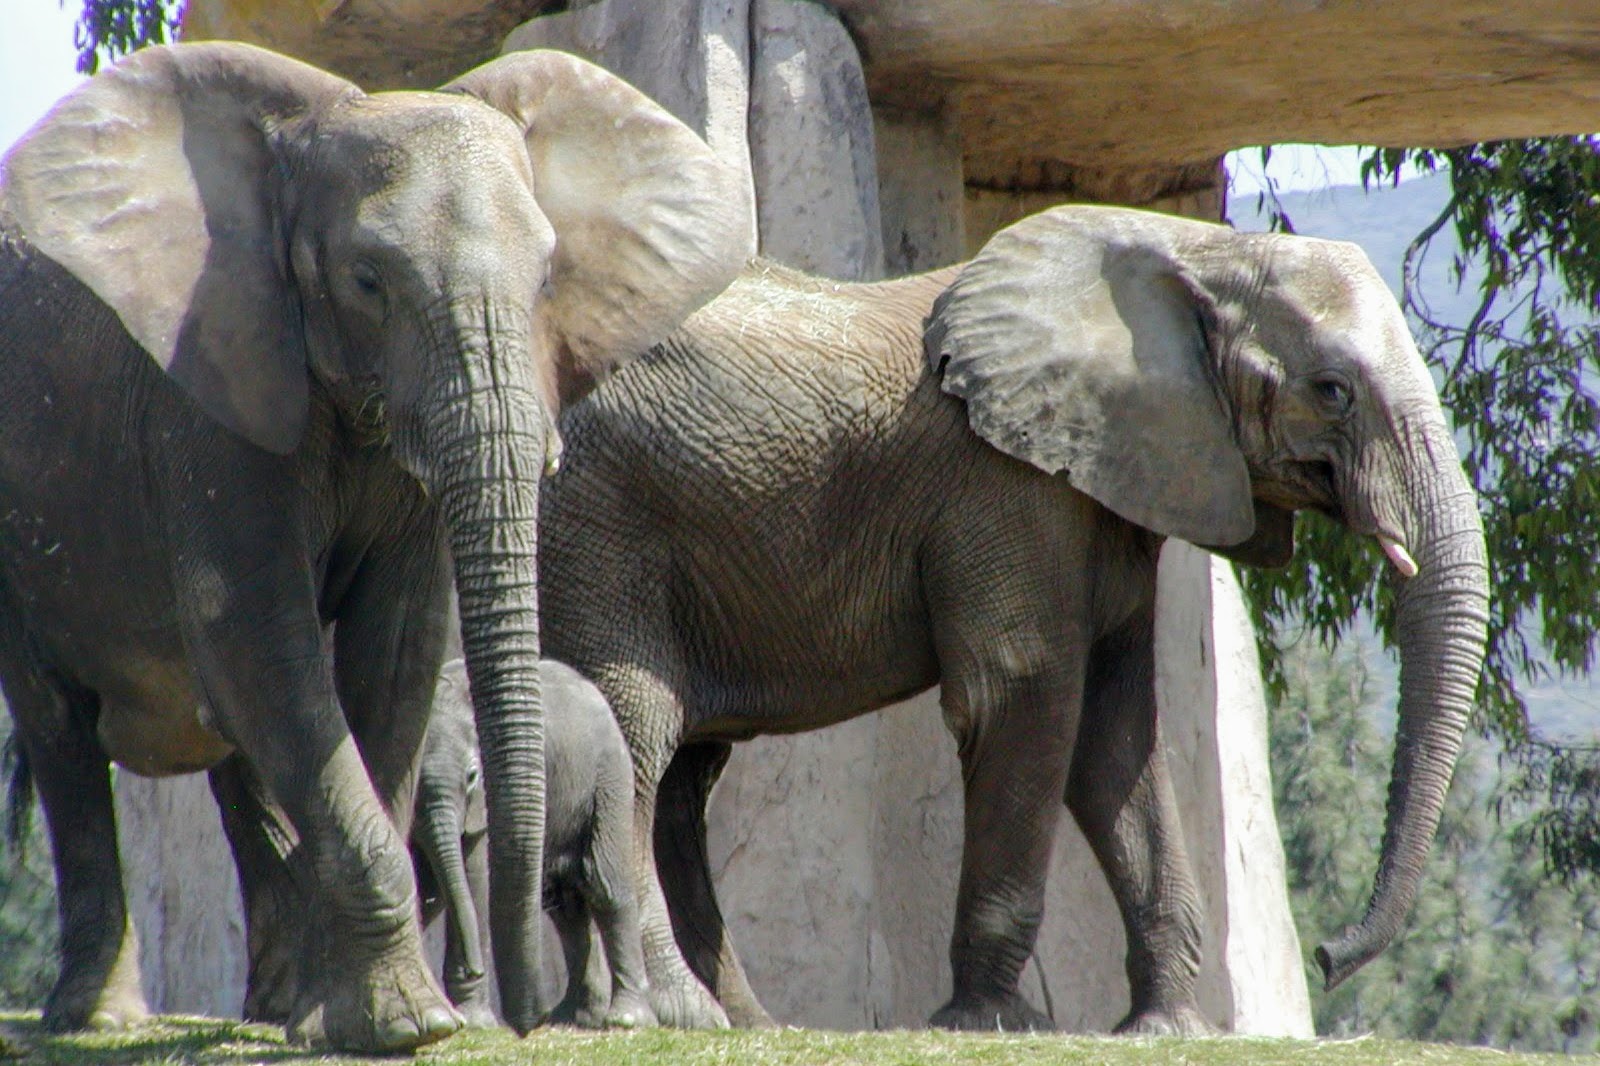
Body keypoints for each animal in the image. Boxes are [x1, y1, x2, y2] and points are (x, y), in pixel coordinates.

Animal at [413, 658, 652, 1030]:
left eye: (472, 777)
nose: (475, 968)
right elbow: (427, 884)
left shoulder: (483, 804)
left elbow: (473, 878)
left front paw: (475, 1021)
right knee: (566, 904)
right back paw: (572, 1016)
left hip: (609, 772)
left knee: (604, 885)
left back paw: (625, 1019)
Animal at [537, 205, 1490, 1031]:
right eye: (1332, 391)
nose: (1328, 956)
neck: (1195, 249)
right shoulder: (1004, 487)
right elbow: (1022, 700)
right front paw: (992, 1022)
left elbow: (1115, 736)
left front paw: (1164, 1028)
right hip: (594, 518)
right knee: (637, 732)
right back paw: (680, 1016)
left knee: (681, 781)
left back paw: (749, 1024)